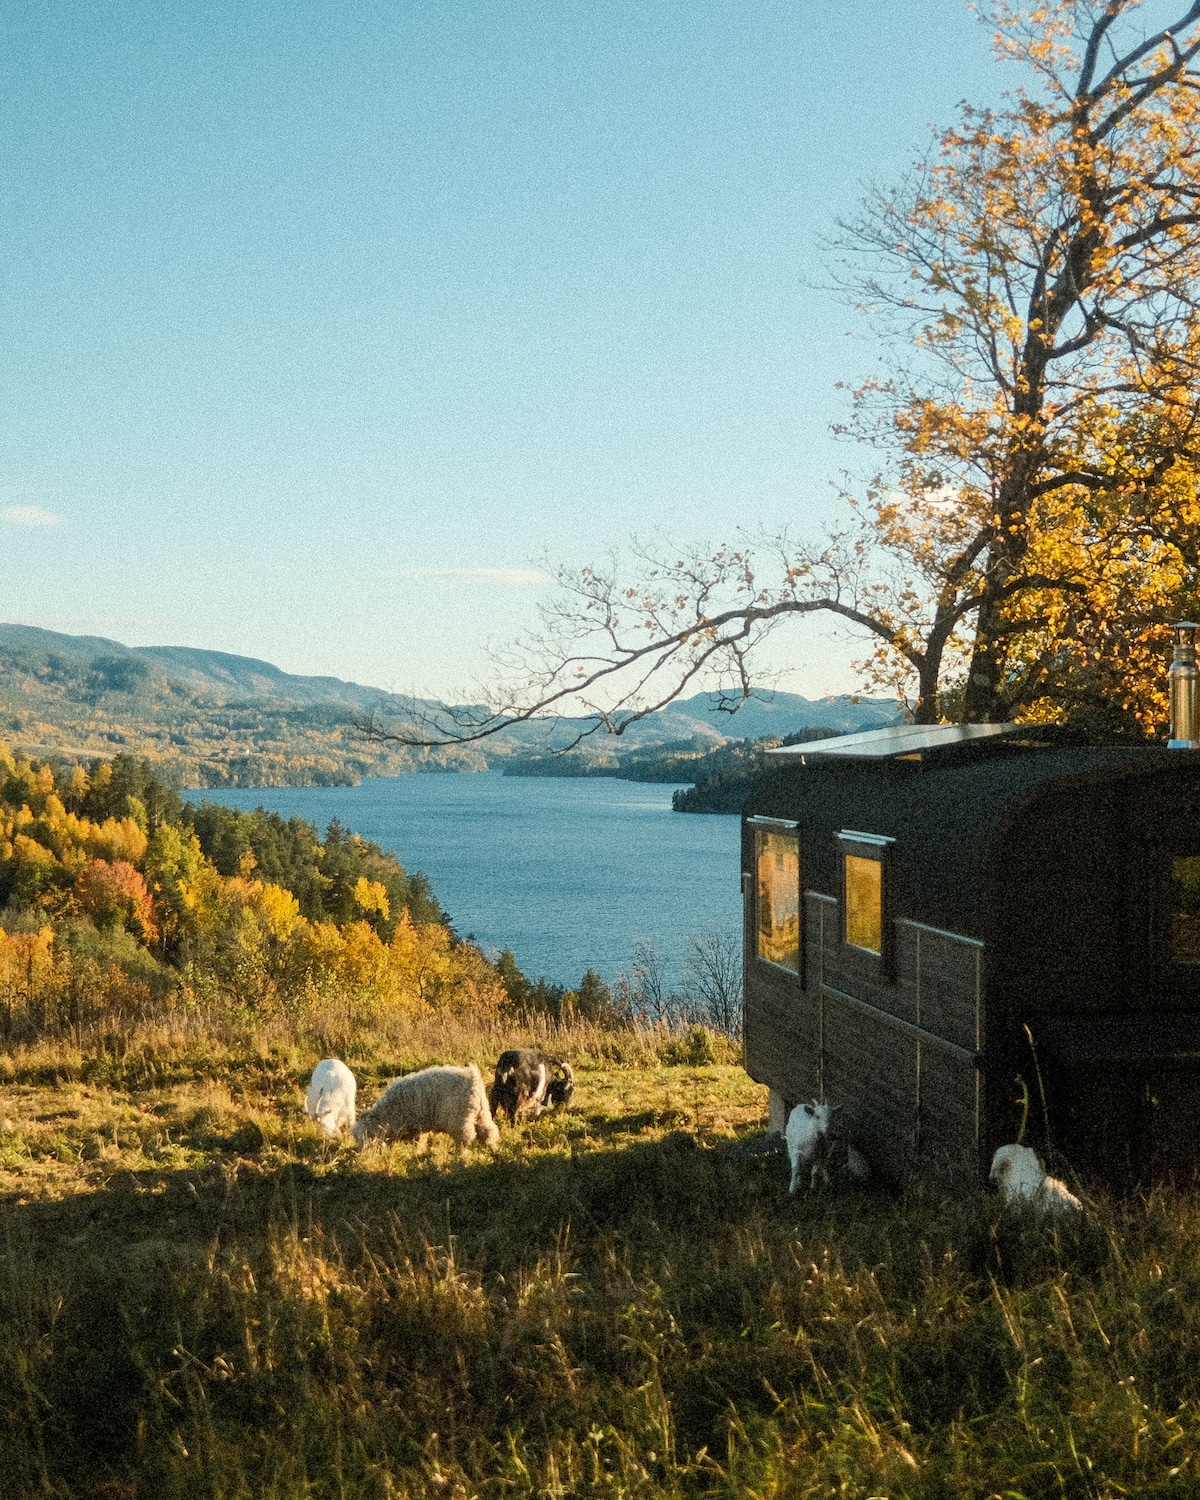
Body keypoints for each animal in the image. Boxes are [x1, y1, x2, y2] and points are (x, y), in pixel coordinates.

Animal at [349, 1062, 498, 1152]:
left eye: (363, 1136)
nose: (361, 1153)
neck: (387, 1114)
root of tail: (473, 1076)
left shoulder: (415, 1126)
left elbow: (417, 1141)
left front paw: (416, 1152)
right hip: (481, 1112)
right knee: (489, 1132)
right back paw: (492, 1149)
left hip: (459, 1119)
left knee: (465, 1138)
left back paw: (460, 1155)